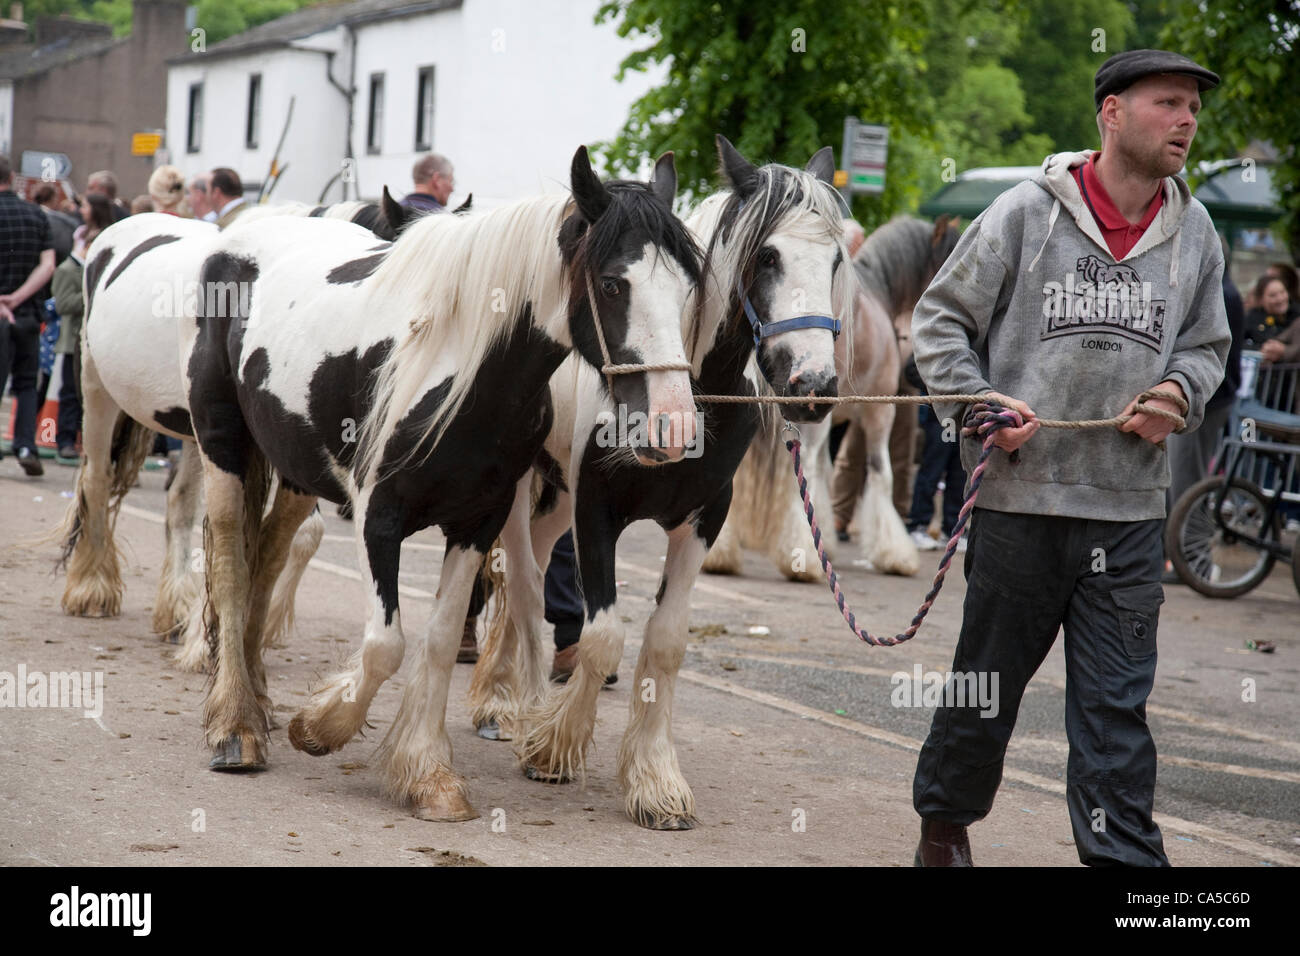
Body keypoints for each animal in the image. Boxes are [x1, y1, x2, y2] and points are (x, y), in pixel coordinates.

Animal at [173, 146, 702, 823]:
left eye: (689, 286)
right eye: (613, 283)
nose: (674, 424)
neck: (463, 362)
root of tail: (235, 241)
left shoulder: (477, 519)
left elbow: (443, 639)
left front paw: (427, 775)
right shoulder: (377, 518)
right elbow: (385, 646)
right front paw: (321, 727)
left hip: (293, 470)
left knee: (266, 553)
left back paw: (258, 705)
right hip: (222, 445)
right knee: (230, 563)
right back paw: (236, 728)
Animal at [468, 136, 851, 829]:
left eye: (835, 259)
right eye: (769, 256)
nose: (812, 387)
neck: (696, 390)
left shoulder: (704, 517)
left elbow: (667, 642)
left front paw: (655, 781)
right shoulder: (597, 511)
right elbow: (601, 638)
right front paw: (554, 747)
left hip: (556, 501)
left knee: (527, 573)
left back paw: (502, 699)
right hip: (521, 491)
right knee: (526, 585)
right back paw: (516, 708)